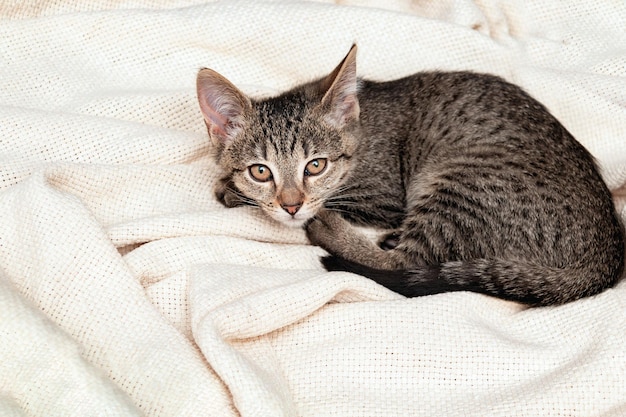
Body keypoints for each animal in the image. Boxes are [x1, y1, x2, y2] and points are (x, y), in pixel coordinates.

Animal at [194, 44, 620, 306]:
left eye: (316, 165)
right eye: (260, 171)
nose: (291, 205)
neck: (359, 130)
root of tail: (608, 250)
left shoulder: (383, 197)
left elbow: (340, 204)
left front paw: (232, 191)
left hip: (461, 182)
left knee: (405, 264)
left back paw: (334, 231)